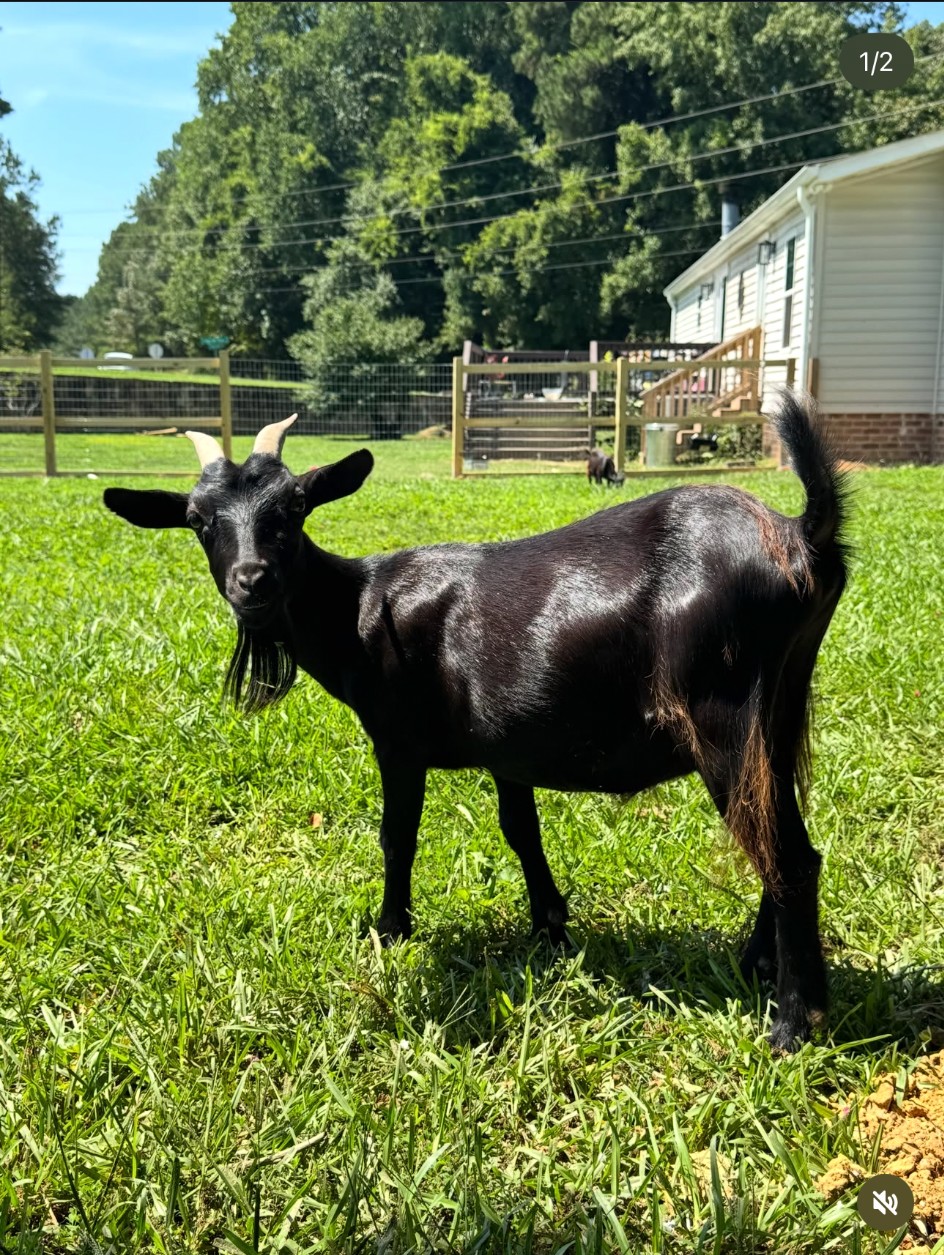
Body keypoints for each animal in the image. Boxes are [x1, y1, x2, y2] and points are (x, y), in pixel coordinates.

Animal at [103, 394, 848, 1051]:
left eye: (291, 507)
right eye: (198, 519)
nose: (251, 581)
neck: (359, 608)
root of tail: (799, 536)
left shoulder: (397, 741)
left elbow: (397, 836)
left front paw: (390, 929)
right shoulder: (508, 747)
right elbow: (521, 832)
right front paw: (551, 929)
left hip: (724, 714)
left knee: (788, 854)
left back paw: (792, 1021)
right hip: (779, 712)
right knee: (779, 835)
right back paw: (757, 964)